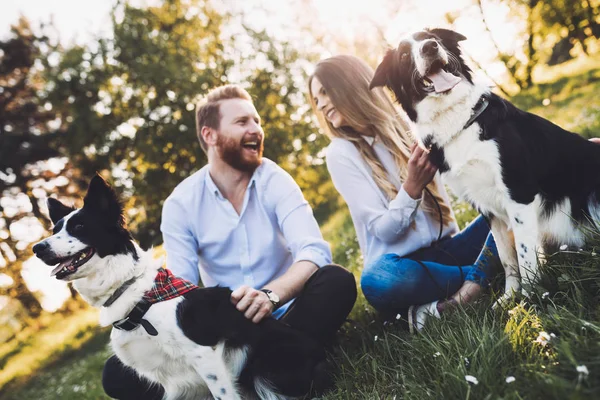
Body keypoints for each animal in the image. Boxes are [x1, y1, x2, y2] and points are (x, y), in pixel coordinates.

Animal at [368, 27, 600, 304]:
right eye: (404, 55)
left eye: (431, 37)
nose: (430, 47)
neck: (457, 121)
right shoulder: (487, 208)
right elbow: (507, 258)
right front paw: (510, 299)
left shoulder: (518, 194)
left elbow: (524, 255)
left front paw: (530, 298)